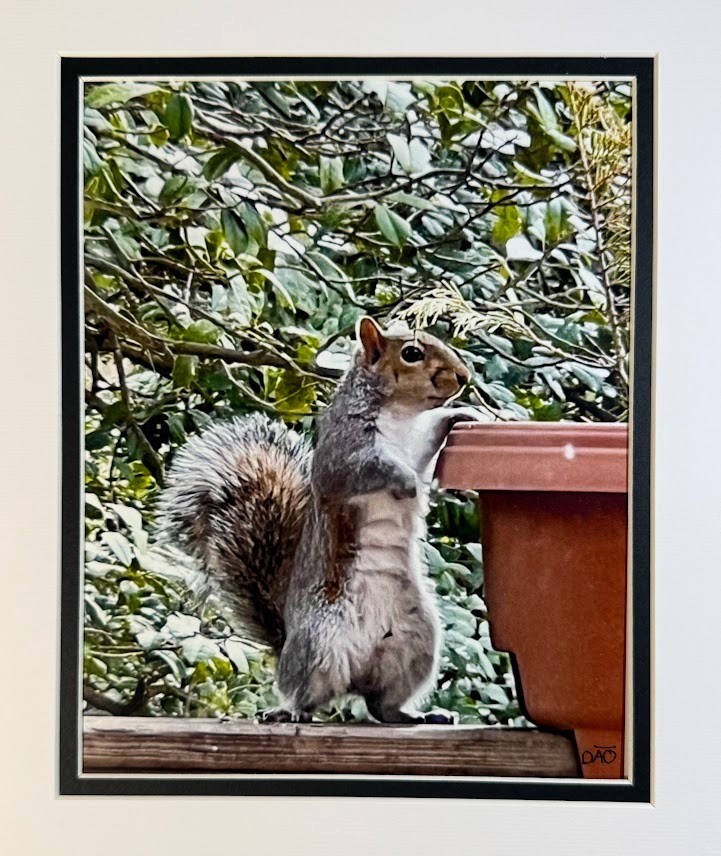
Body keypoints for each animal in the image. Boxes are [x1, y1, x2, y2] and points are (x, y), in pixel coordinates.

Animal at [158, 317, 482, 724]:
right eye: (411, 353)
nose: (464, 377)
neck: (400, 414)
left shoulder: (416, 444)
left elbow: (429, 441)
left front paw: (462, 415)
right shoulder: (341, 456)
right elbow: (369, 470)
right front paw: (407, 482)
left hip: (416, 640)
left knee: (381, 705)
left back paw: (414, 715)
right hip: (318, 642)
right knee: (306, 694)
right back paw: (290, 712)